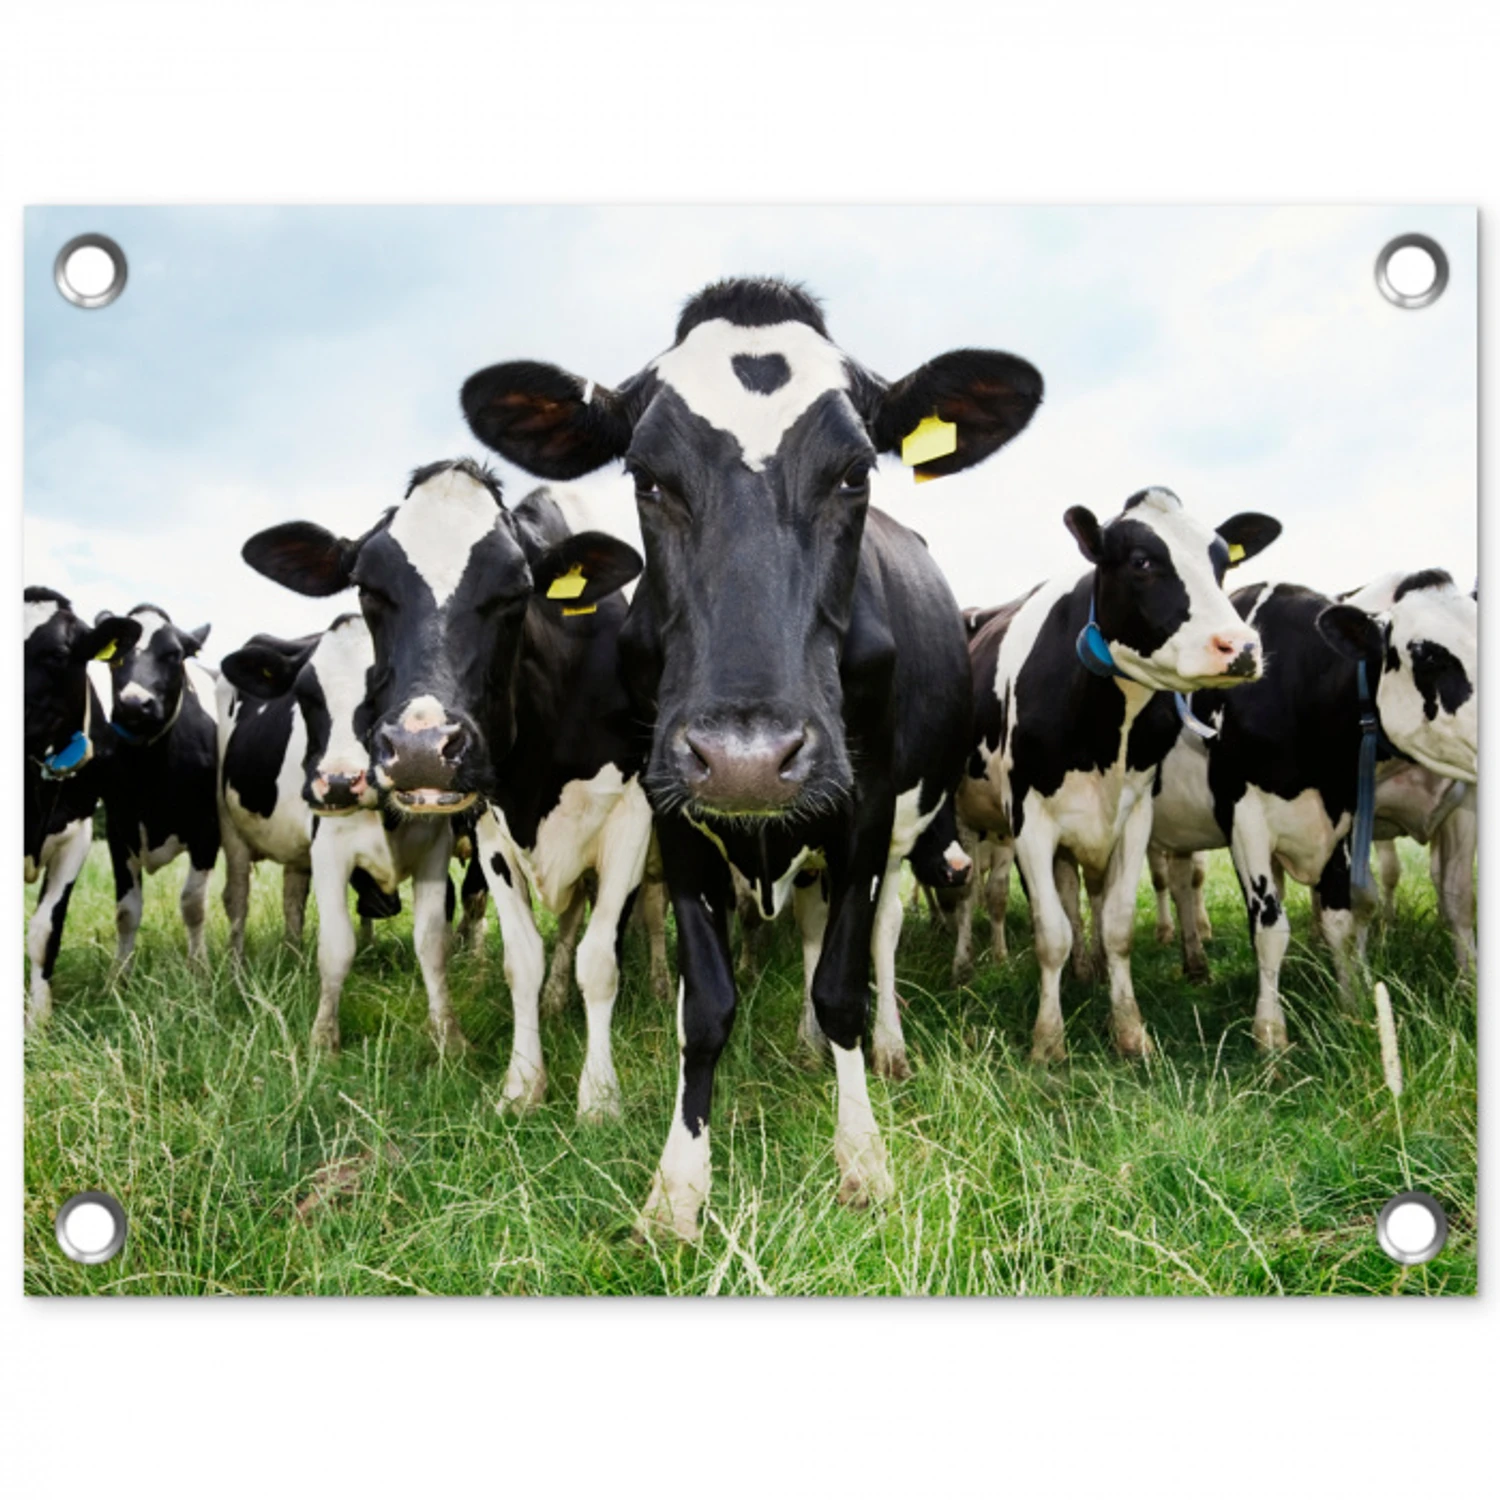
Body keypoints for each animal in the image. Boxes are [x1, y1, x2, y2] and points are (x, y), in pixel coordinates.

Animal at [91, 605, 220, 972]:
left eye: (174, 654)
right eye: (114, 654)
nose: (135, 703)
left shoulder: (208, 829)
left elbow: (193, 904)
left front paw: (199, 968)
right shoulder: (119, 829)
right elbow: (126, 912)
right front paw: (119, 974)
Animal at [219, 612, 467, 1052]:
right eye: (305, 695)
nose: (337, 782)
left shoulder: (435, 848)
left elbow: (432, 942)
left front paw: (448, 1035)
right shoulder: (330, 850)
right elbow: (336, 947)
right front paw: (323, 1039)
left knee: (292, 899)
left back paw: (295, 959)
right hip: (231, 828)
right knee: (237, 900)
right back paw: (236, 972)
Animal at [457, 275, 1043, 1238]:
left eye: (855, 472)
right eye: (646, 476)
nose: (747, 759)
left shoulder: (863, 808)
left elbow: (842, 984)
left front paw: (863, 1158)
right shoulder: (672, 810)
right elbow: (705, 1004)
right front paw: (678, 1187)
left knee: (875, 940)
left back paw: (879, 1049)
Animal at [956, 488, 1281, 1063]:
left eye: (1223, 562)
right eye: (1141, 561)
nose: (1241, 647)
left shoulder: (1132, 816)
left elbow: (1117, 924)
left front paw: (1129, 1030)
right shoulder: (1028, 820)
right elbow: (1050, 934)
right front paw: (1048, 1042)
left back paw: (1087, 969)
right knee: (968, 891)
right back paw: (965, 964)